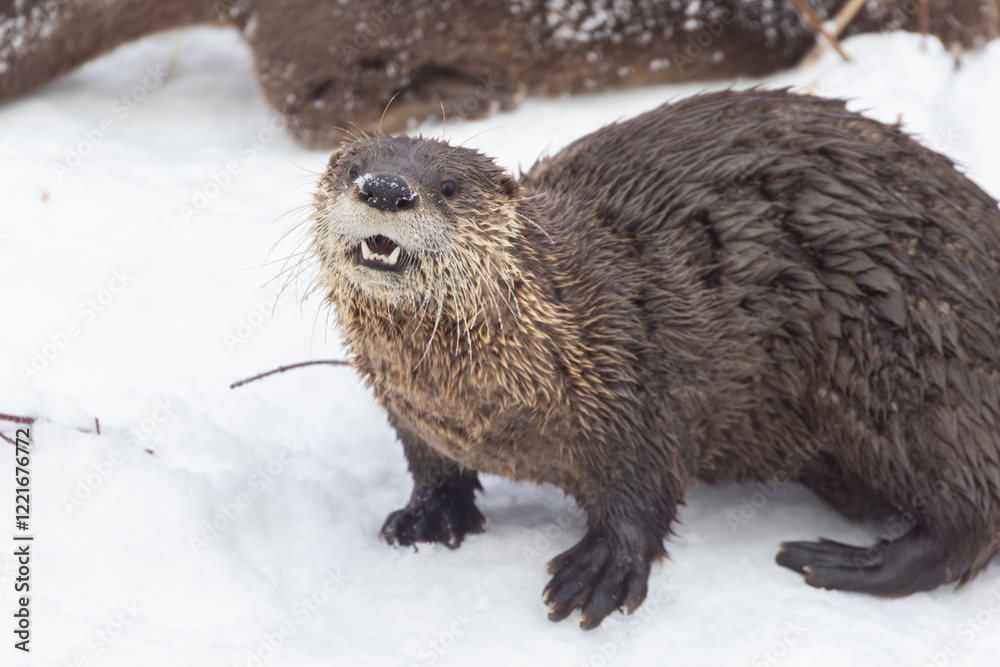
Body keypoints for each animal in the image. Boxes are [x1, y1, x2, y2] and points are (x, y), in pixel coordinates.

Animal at [307, 88, 1000, 628]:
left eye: (448, 187)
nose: (387, 188)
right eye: (352, 166)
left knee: (969, 512)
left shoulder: (633, 375)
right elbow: (431, 465)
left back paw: (839, 561)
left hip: (922, 362)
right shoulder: (410, 410)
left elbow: (646, 483)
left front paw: (601, 569)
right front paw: (428, 515)